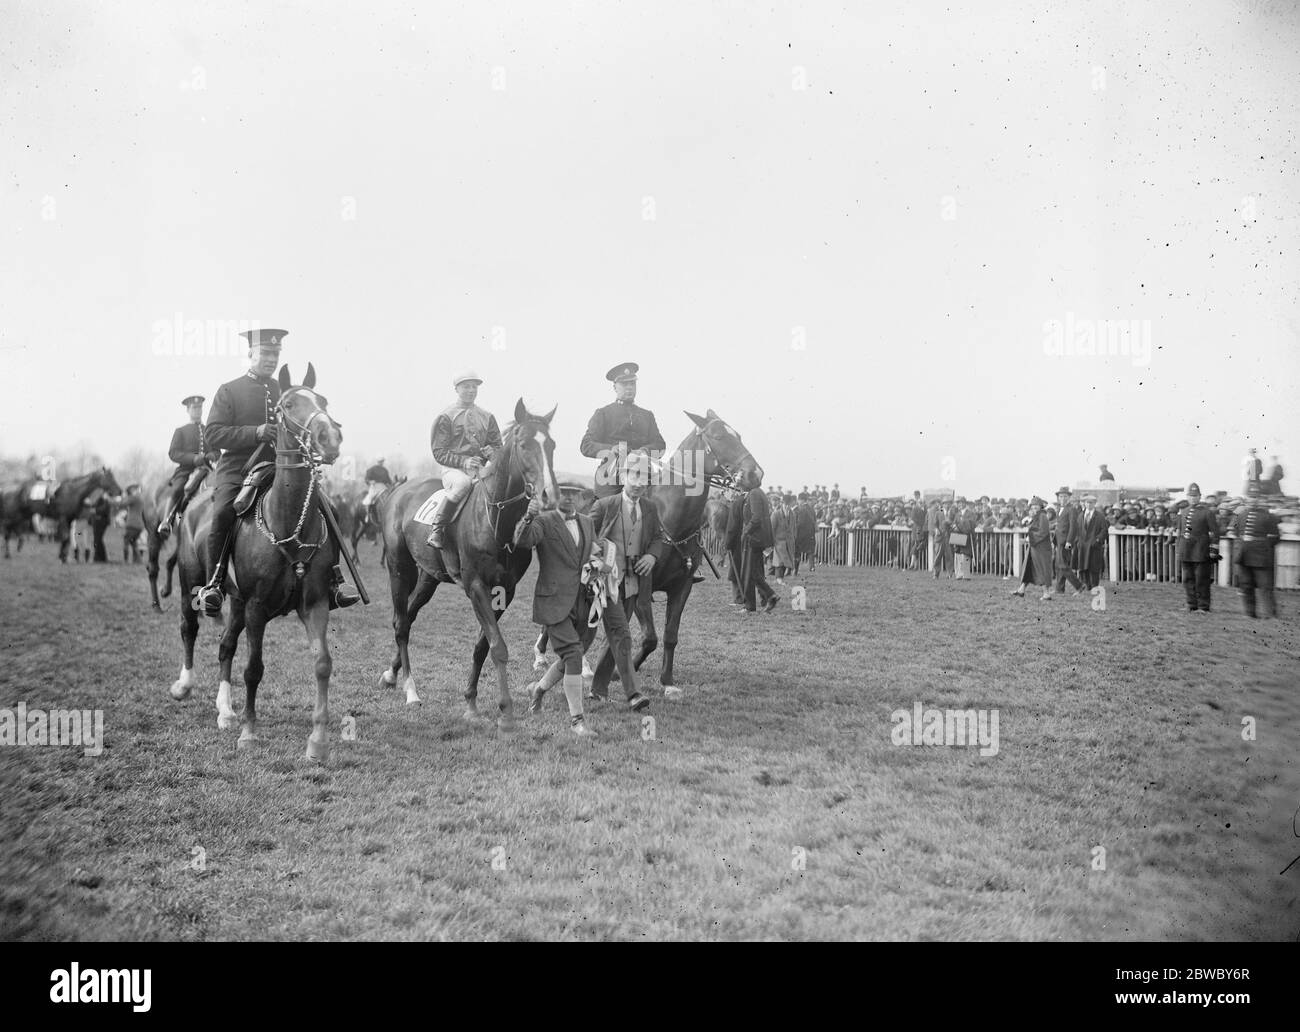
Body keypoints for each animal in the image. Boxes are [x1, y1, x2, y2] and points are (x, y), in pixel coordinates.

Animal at [171, 361, 345, 753]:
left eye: (323, 400)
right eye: (289, 405)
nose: (330, 437)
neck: (288, 519)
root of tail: (194, 503)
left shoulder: (315, 604)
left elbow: (323, 663)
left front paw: (318, 740)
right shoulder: (256, 607)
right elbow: (254, 669)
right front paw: (249, 732)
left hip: (234, 601)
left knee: (225, 646)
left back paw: (225, 711)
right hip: (191, 583)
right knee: (190, 627)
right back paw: (185, 685)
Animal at [379, 397, 556, 727]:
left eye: (551, 444)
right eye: (524, 444)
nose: (549, 494)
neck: (496, 522)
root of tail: (398, 491)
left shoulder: (505, 590)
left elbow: (482, 646)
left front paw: (471, 701)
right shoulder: (475, 585)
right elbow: (497, 646)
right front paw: (502, 708)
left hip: (429, 577)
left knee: (409, 615)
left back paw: (390, 674)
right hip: (399, 568)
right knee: (400, 623)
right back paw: (410, 689)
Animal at [592, 410, 759, 691]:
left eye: (738, 435)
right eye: (718, 436)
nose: (755, 474)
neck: (670, 521)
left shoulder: (683, 586)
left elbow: (670, 635)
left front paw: (666, 679)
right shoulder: (641, 587)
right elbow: (649, 637)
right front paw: (621, 671)